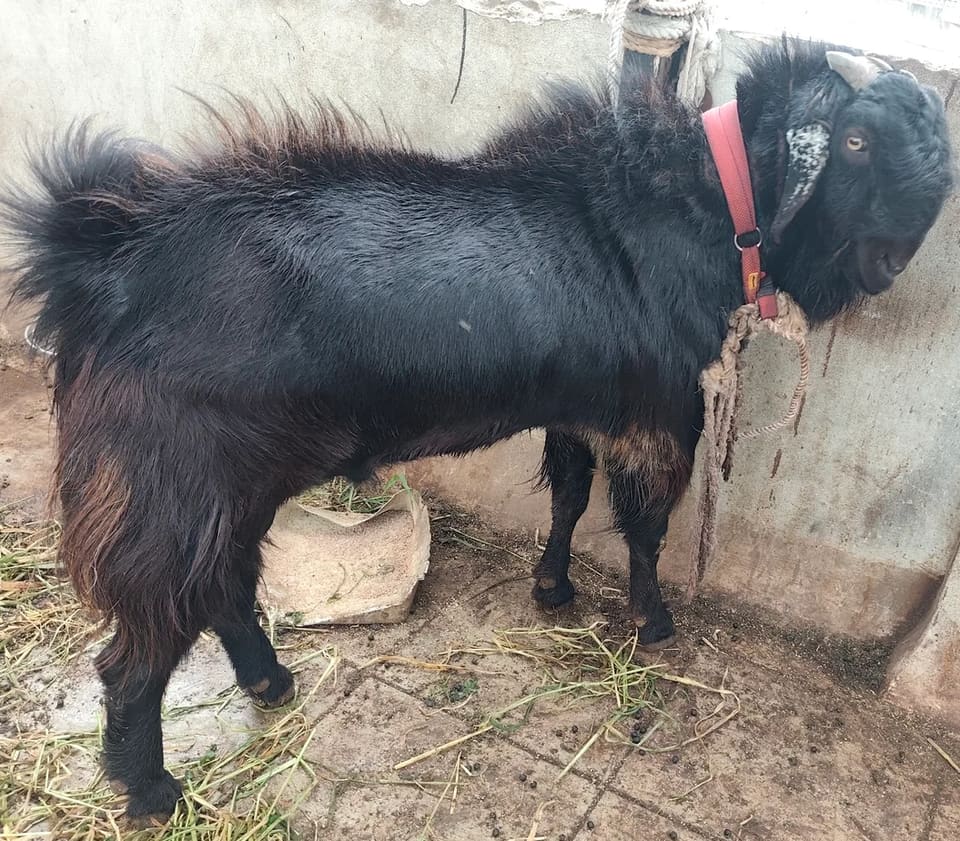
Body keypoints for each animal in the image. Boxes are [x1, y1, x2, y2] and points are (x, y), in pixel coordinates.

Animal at [2, 37, 952, 823]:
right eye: (857, 142)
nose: (894, 260)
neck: (695, 202)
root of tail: (97, 257)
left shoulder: (580, 405)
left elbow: (569, 493)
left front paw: (553, 586)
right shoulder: (658, 414)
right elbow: (645, 528)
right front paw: (652, 622)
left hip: (230, 486)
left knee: (225, 588)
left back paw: (269, 681)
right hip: (166, 486)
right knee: (136, 652)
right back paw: (151, 790)